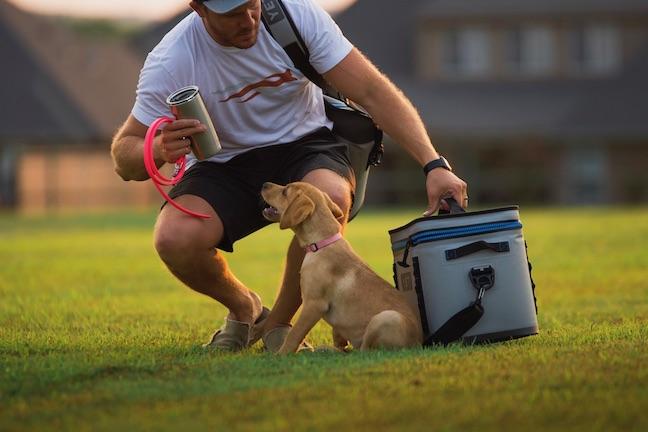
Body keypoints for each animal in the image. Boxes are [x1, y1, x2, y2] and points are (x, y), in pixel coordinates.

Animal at [260, 182, 422, 354]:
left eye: (285, 191)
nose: (264, 184)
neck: (322, 243)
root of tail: (418, 343)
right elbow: (337, 334)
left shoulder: (313, 304)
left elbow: (294, 334)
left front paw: (280, 354)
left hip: (385, 318)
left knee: (363, 350)